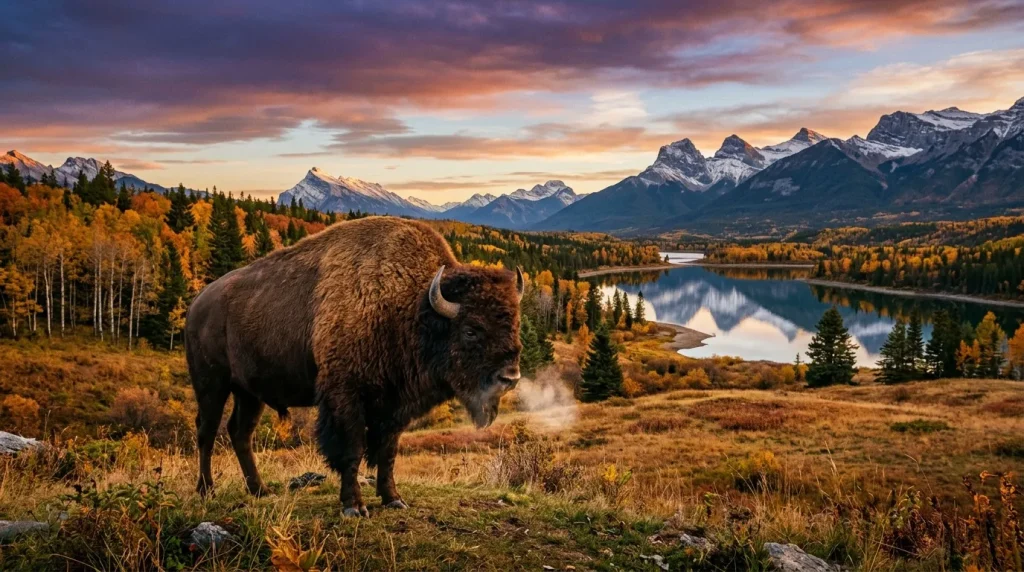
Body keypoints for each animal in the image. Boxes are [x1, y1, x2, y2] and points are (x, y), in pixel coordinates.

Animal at [185, 217, 523, 516]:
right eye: (471, 330)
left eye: (515, 324)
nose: (510, 377)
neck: (410, 306)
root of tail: (197, 303)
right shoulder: (345, 396)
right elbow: (352, 449)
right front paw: (354, 507)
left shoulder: (394, 405)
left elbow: (387, 451)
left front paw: (394, 499)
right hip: (211, 385)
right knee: (207, 431)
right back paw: (206, 490)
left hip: (249, 393)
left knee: (240, 433)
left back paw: (260, 490)